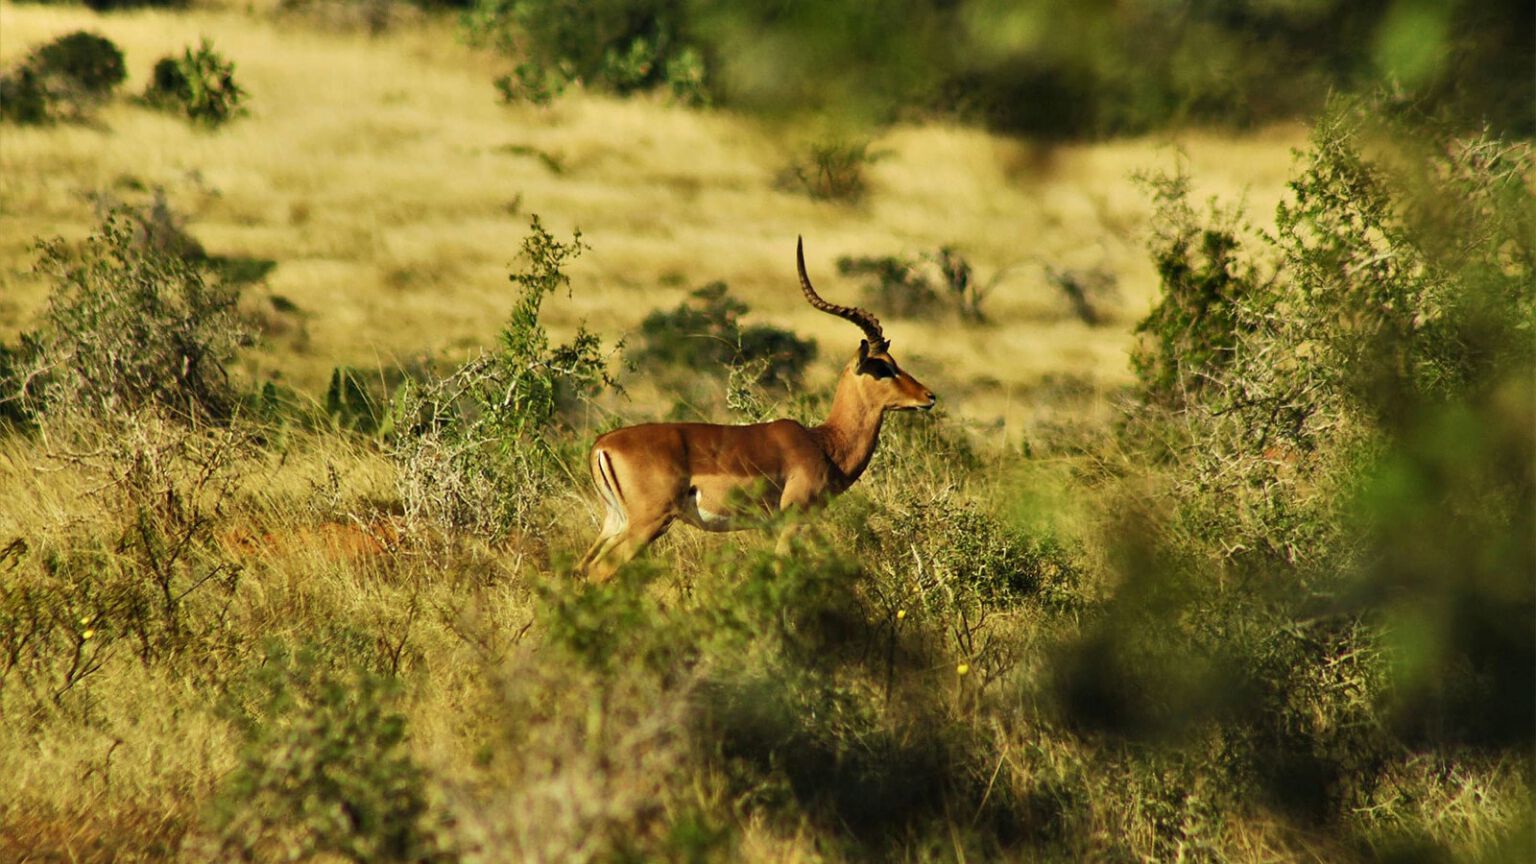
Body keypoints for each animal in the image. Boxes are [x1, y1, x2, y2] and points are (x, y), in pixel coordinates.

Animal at [576, 238, 936, 582]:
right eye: (884, 367)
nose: (928, 396)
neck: (825, 444)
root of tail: (602, 445)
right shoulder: (792, 520)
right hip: (647, 522)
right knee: (599, 572)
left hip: (615, 523)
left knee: (582, 568)